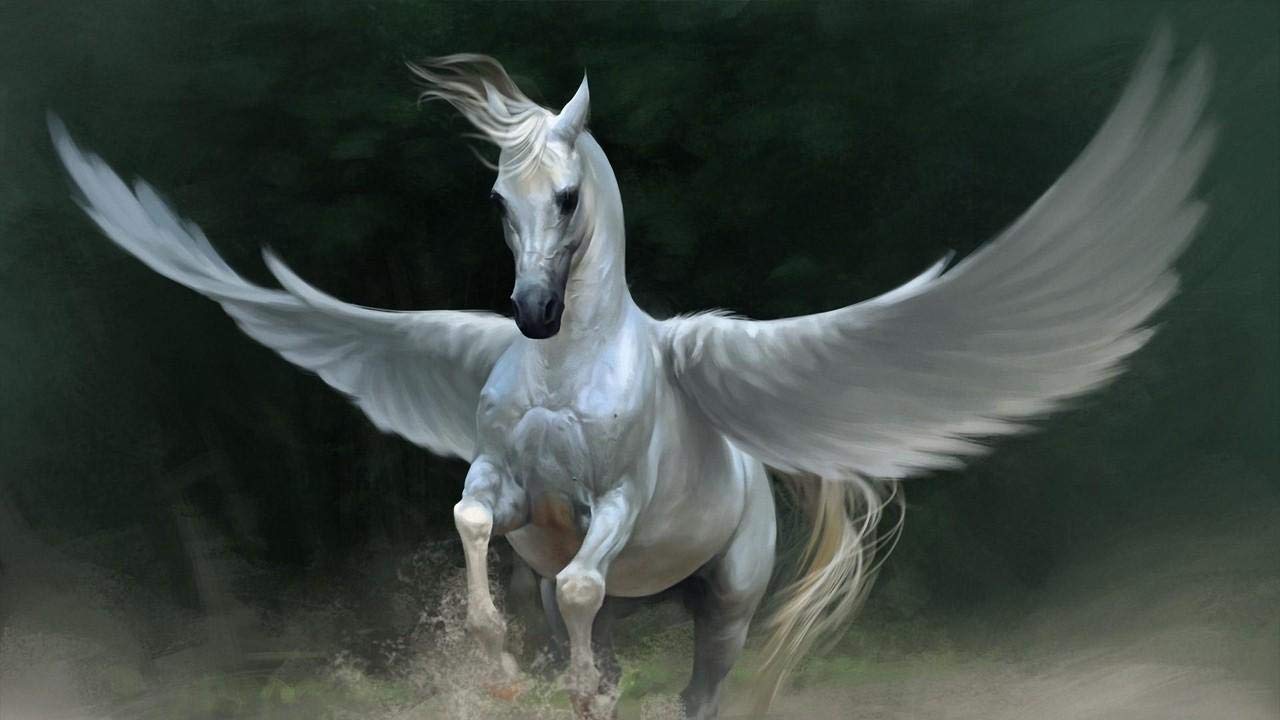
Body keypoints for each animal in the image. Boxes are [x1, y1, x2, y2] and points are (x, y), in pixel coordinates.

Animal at [50, 28, 1211, 719]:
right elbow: (481, 532)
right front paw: (499, 661)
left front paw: (559, 682)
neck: (568, 366)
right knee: (590, 614)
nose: (530, 311)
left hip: (725, 606)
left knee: (687, 680)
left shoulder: (612, 501)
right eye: (497, 199)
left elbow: (577, 580)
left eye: (566, 197)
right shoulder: (510, 486)